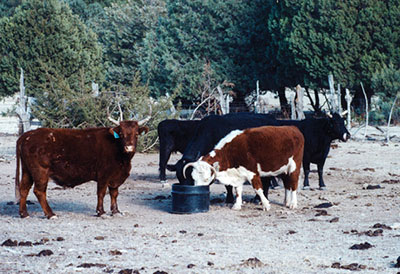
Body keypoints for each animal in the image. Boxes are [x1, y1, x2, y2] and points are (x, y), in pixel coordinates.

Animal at [15, 112, 150, 219]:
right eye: (121, 134)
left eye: (136, 134)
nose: (129, 147)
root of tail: (28, 135)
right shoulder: (103, 175)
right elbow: (101, 193)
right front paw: (101, 212)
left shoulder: (115, 177)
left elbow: (114, 193)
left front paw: (116, 211)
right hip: (40, 172)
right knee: (39, 191)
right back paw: (50, 214)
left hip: (27, 171)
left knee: (24, 189)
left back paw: (24, 214)